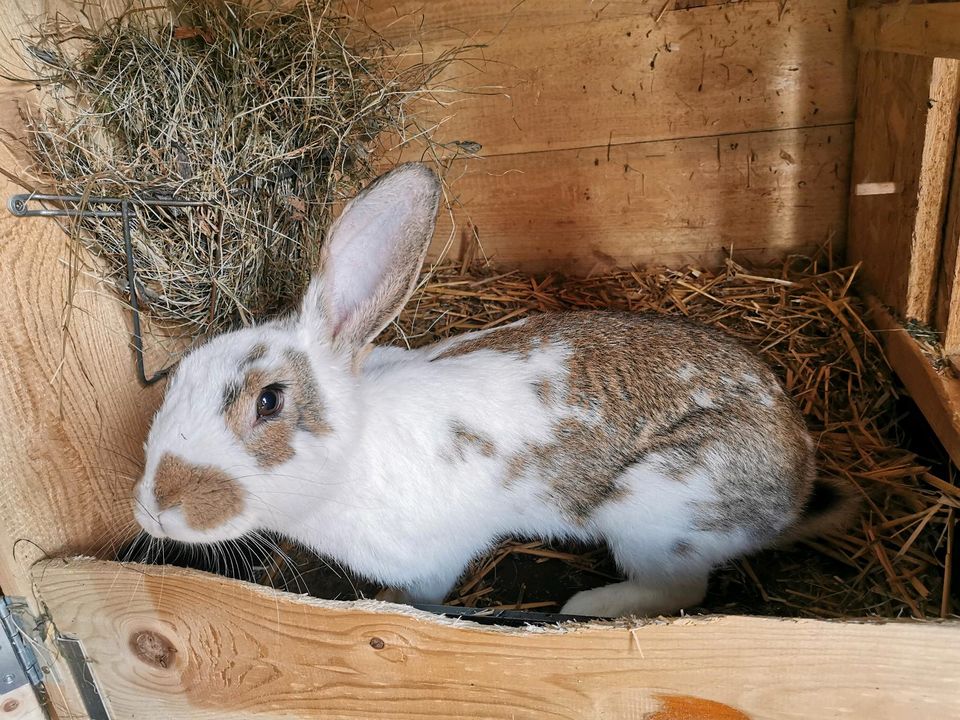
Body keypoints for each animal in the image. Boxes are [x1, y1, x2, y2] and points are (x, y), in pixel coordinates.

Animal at [133, 163, 856, 620]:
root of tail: (796, 482)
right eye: (177, 377)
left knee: (680, 590)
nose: (154, 508)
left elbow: (418, 597)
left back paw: (589, 606)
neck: (352, 452)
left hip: (658, 515)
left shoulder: (434, 561)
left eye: (270, 401)